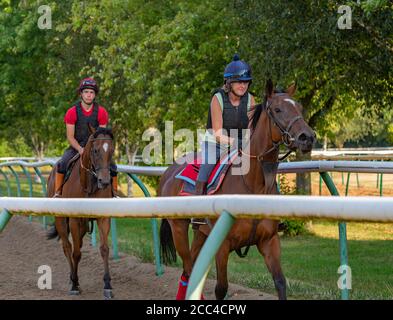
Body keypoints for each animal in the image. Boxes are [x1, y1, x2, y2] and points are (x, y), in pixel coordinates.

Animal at [47, 126, 115, 298]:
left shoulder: (103, 218)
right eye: (95, 150)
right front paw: (74, 284)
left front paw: (107, 285)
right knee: (67, 247)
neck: (88, 186)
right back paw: (73, 278)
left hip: (84, 225)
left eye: (112, 150)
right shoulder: (74, 220)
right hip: (61, 219)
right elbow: (76, 253)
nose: (105, 181)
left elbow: (104, 249)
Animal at [159, 80, 316, 300]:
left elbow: (280, 283)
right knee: (189, 270)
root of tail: (168, 172)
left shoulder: (270, 241)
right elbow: (221, 288)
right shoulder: (222, 246)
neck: (253, 186)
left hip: (201, 233)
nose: (307, 137)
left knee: (188, 271)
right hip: (179, 229)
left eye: (300, 108)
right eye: (278, 109)